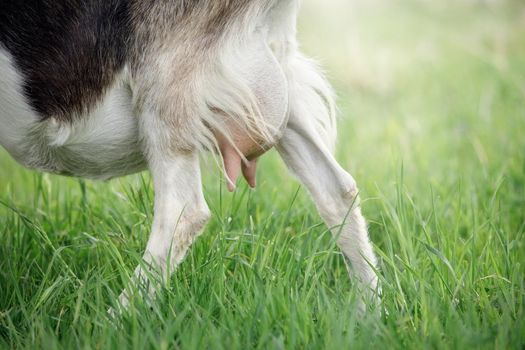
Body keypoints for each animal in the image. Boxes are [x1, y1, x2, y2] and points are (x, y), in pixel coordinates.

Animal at [0, 0, 376, 312]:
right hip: (275, 86)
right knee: (337, 189)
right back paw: (370, 313)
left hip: (166, 76)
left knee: (184, 211)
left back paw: (112, 322)